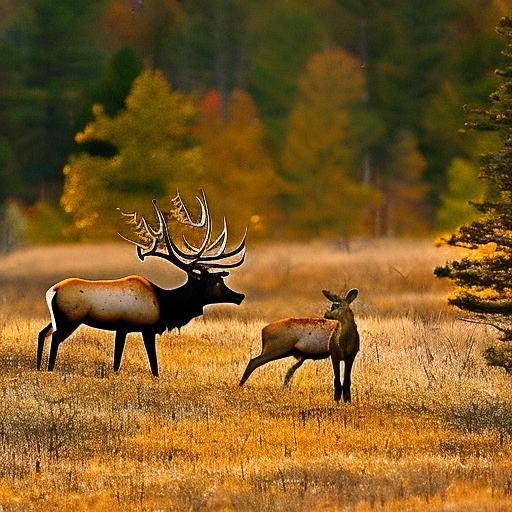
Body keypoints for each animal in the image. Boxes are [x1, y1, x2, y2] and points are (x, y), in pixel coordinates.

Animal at [36, 190, 246, 378]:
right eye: (217, 281)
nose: (239, 296)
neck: (165, 304)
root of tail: (51, 292)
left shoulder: (122, 328)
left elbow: (117, 361)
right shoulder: (145, 328)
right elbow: (153, 365)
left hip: (57, 318)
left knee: (42, 333)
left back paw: (39, 368)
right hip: (70, 319)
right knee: (54, 338)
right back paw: (50, 369)